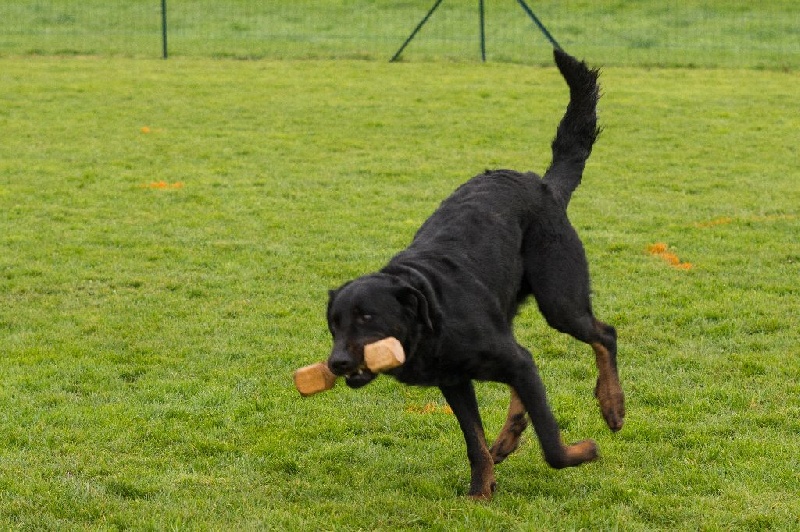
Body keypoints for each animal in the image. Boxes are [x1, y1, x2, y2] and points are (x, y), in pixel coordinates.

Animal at [324, 48, 624, 498]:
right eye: (334, 324)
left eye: (367, 317)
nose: (337, 363)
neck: (431, 315)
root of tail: (544, 185)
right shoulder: (456, 382)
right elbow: (474, 442)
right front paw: (480, 491)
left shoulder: (505, 361)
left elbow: (552, 444)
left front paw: (583, 452)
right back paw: (510, 435)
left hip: (560, 300)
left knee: (604, 335)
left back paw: (611, 404)